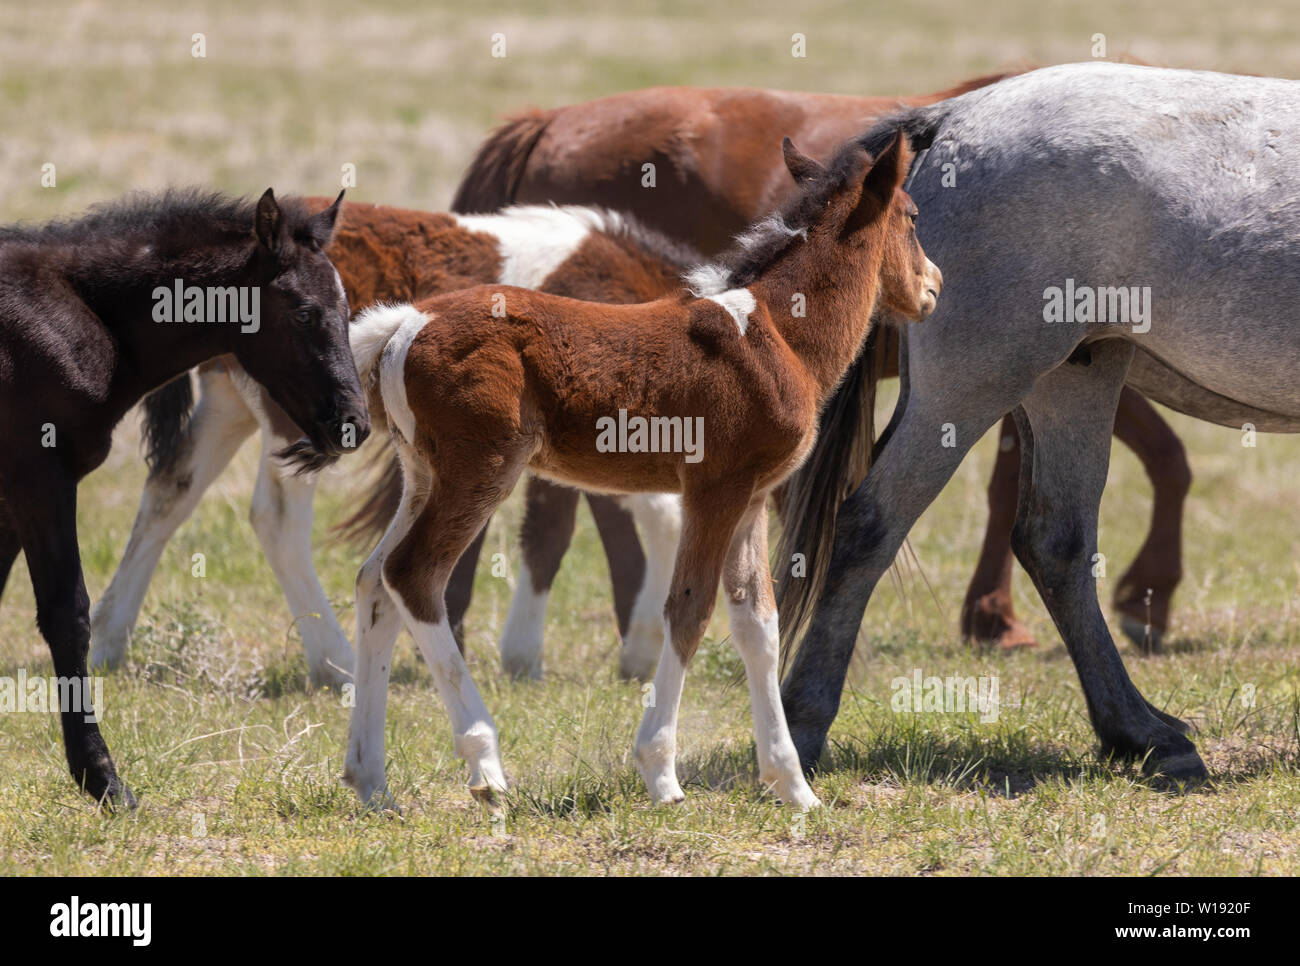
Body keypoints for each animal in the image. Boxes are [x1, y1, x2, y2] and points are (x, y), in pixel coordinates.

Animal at [0, 187, 365, 806]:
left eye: (346, 311)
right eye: (302, 313)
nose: (352, 425)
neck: (80, 314)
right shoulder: (39, 480)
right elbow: (68, 615)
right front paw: (102, 778)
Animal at [87, 200, 699, 687]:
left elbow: (549, 529)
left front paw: (530, 655)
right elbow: (659, 519)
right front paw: (641, 650)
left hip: (228, 404)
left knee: (170, 491)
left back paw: (106, 641)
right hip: (292, 413)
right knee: (276, 519)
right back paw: (332, 661)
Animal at [305, 133, 940, 811]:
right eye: (913, 217)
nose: (934, 283)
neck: (776, 333)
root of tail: (406, 323)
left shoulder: (751, 499)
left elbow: (758, 625)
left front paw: (792, 786)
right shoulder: (714, 490)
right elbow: (689, 609)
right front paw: (661, 772)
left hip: (425, 475)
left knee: (375, 582)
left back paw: (371, 779)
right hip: (481, 470)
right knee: (414, 574)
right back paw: (485, 764)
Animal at [778, 61, 1300, 780]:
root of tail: (956, 117)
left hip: (1073, 377)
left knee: (1055, 544)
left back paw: (1138, 732)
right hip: (971, 388)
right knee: (867, 526)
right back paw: (801, 724)